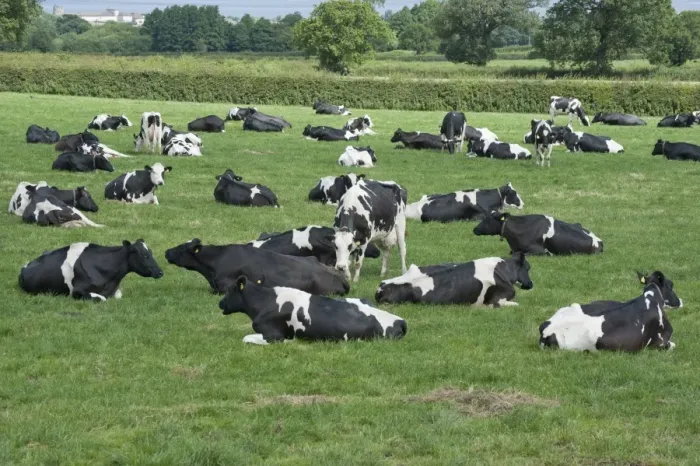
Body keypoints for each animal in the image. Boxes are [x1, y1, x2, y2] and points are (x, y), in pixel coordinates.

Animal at [18, 239, 163, 301]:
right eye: (144, 255)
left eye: (150, 252)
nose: (161, 272)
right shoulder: (77, 291)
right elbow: (101, 298)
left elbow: (118, 295)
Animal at [219, 275, 406, 345]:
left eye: (230, 290)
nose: (220, 303)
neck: (266, 301)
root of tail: (400, 320)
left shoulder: (274, 335)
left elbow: (246, 338)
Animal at [539, 272, 682, 352]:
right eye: (671, 284)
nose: (680, 301)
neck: (651, 297)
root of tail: (545, 330)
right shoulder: (660, 343)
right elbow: (673, 345)